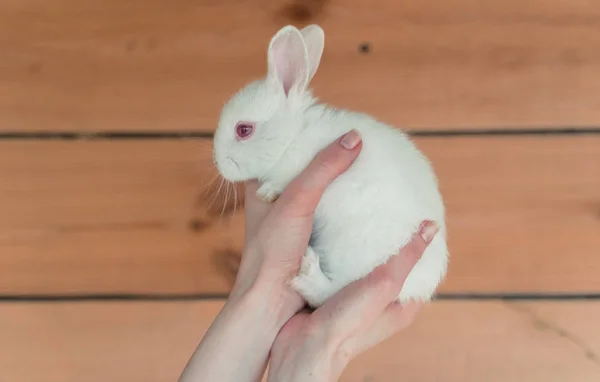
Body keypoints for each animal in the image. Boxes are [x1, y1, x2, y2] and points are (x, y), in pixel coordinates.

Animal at [213, 24, 448, 308]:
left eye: (243, 130)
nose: (218, 162)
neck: (293, 136)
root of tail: (417, 288)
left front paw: (267, 192)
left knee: (332, 291)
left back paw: (308, 274)